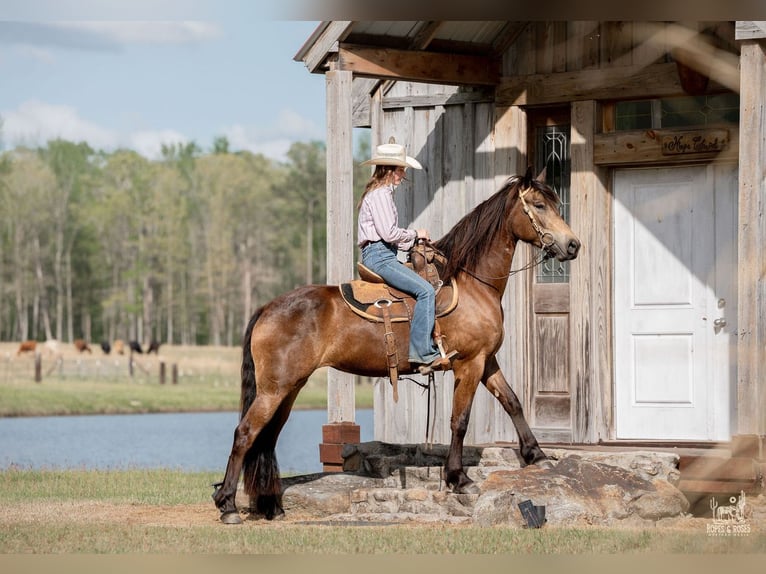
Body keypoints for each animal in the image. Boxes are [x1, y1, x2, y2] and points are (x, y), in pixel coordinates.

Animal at [212, 168, 581, 524]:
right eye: (539, 205)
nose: (573, 245)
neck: (472, 283)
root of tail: (267, 307)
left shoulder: (486, 361)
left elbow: (512, 401)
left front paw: (537, 455)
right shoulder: (470, 363)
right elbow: (459, 420)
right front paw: (459, 478)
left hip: (289, 389)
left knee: (267, 437)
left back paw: (270, 505)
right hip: (274, 389)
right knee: (245, 433)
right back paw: (228, 505)